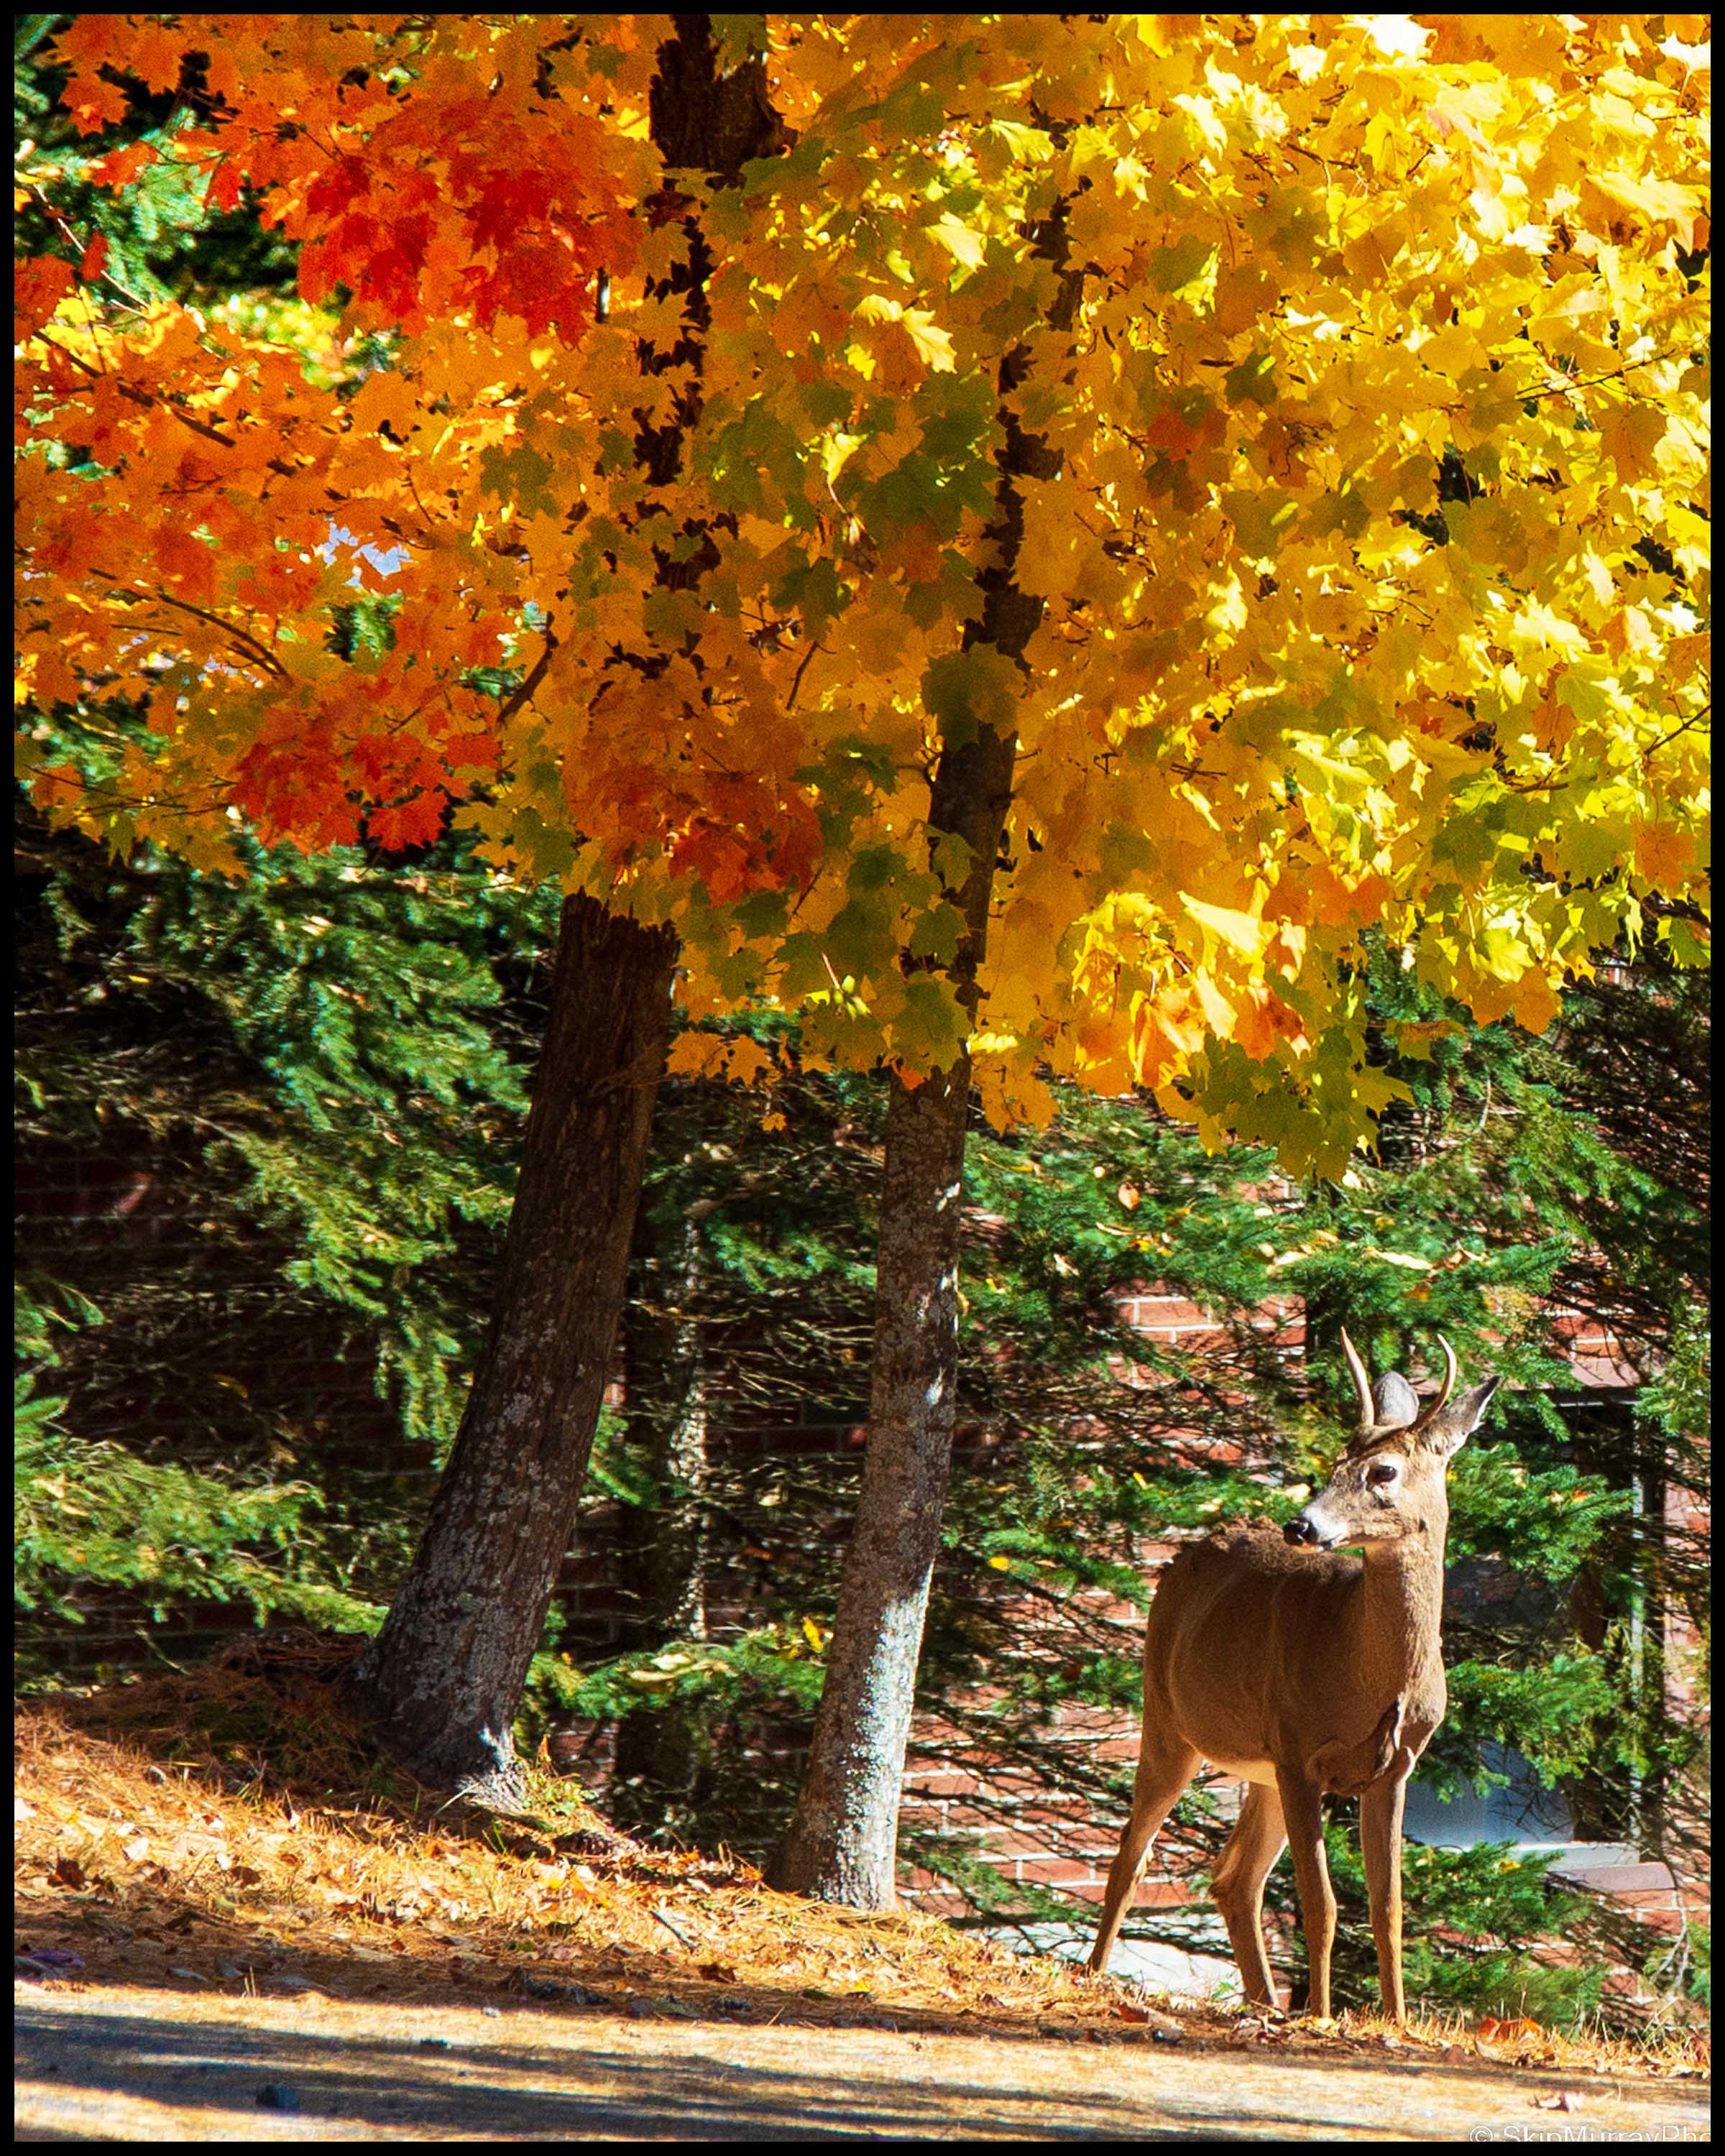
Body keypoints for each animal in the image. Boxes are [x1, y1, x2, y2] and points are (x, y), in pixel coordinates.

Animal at [1089, 1331, 1500, 2023]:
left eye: (1383, 1471)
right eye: (1335, 1460)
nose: (1301, 1526)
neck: (1367, 1675)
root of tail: (1184, 1556)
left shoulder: (1394, 1766)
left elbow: (1388, 1909)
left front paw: (1396, 2021)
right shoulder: (1301, 1751)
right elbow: (1322, 1903)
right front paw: (1326, 2016)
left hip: (1262, 1771)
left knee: (1234, 1878)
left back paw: (1265, 2005)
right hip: (1172, 1720)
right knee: (1132, 1854)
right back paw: (1092, 1974)